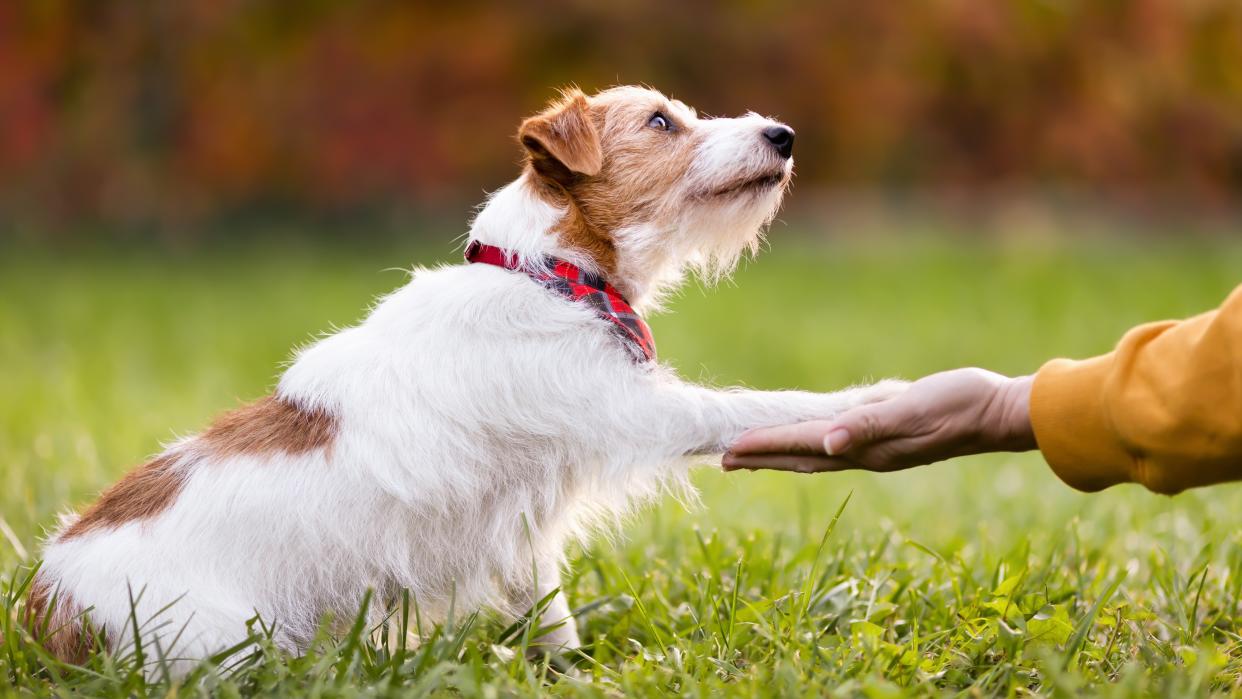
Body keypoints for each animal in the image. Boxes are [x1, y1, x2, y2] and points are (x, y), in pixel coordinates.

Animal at [29, 86, 904, 665]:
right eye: (662, 122)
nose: (783, 133)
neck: (548, 275)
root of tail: (49, 602)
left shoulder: (523, 534)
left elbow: (548, 612)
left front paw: (568, 671)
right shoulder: (634, 410)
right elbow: (751, 404)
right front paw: (871, 397)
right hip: (225, 645)